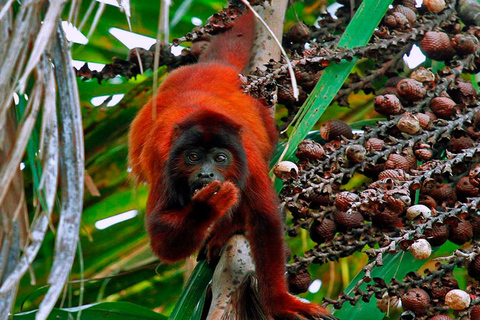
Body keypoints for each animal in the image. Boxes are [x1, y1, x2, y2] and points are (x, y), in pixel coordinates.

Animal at [125, 8, 332, 320]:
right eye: (193, 157)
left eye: (220, 158)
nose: (206, 173)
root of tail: (214, 66)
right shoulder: (162, 160)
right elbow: (162, 240)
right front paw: (206, 207)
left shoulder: (248, 156)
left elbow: (265, 219)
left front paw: (279, 303)